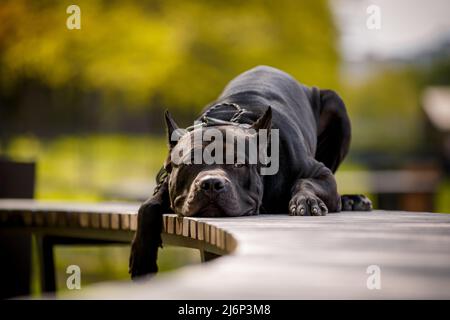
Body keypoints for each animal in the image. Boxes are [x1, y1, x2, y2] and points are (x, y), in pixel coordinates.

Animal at [128, 65, 370, 278]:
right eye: (189, 164)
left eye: (238, 164)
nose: (211, 184)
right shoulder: (166, 183)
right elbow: (148, 206)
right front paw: (142, 257)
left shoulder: (321, 173)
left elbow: (305, 182)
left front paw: (305, 201)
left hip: (335, 107)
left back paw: (351, 200)